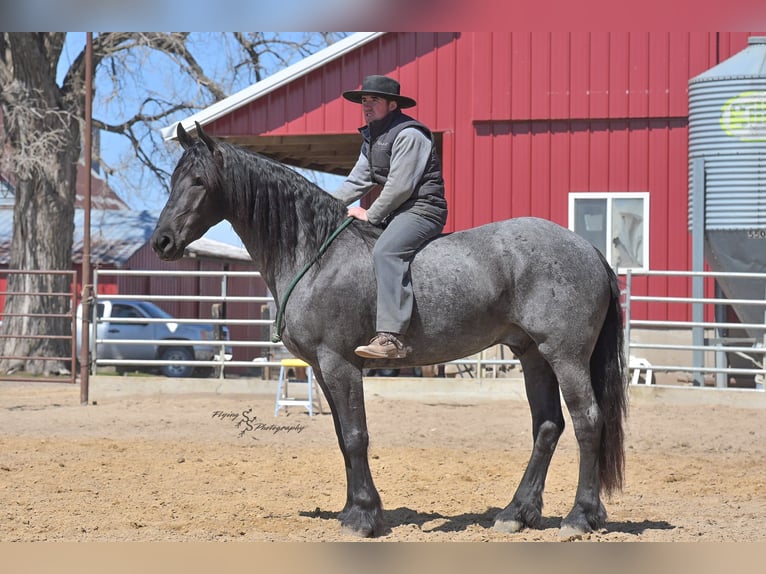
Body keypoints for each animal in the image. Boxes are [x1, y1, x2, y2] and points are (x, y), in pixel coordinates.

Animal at [151, 122, 629, 539]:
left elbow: (356, 437)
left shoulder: (340, 364)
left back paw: (579, 516)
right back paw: (517, 513)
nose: (162, 242)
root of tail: (588, 249)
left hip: (565, 355)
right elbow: (342, 437)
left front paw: (363, 517)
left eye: (198, 181)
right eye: (173, 179)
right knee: (547, 426)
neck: (318, 255)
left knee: (588, 421)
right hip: (532, 355)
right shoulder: (322, 370)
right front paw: (355, 509)